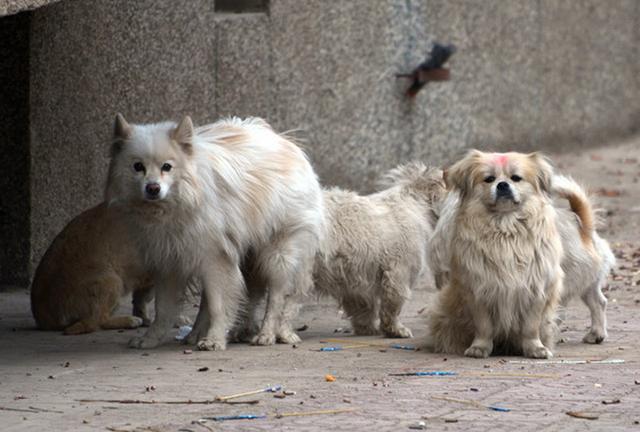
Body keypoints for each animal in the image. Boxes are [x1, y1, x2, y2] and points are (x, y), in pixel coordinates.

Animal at [107, 114, 324, 352]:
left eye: (167, 167)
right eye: (138, 167)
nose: (153, 188)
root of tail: (287, 143)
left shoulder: (216, 257)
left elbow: (220, 305)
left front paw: (215, 339)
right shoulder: (170, 262)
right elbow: (164, 310)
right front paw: (150, 339)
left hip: (277, 254)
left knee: (275, 297)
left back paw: (265, 334)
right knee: (233, 298)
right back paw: (205, 334)